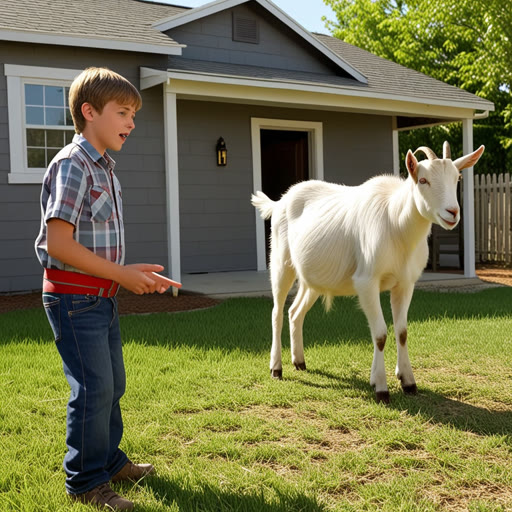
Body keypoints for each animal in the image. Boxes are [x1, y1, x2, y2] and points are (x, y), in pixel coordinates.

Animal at [252, 142, 484, 402]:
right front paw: (382, 388)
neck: (397, 224)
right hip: (281, 262)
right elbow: (380, 334)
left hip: (314, 278)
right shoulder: (366, 282)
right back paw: (276, 368)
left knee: (295, 312)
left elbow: (401, 331)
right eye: (423, 180)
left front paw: (407, 381)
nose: (452, 212)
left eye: (457, 177)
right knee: (277, 312)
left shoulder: (405, 283)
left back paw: (299, 361)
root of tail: (278, 203)